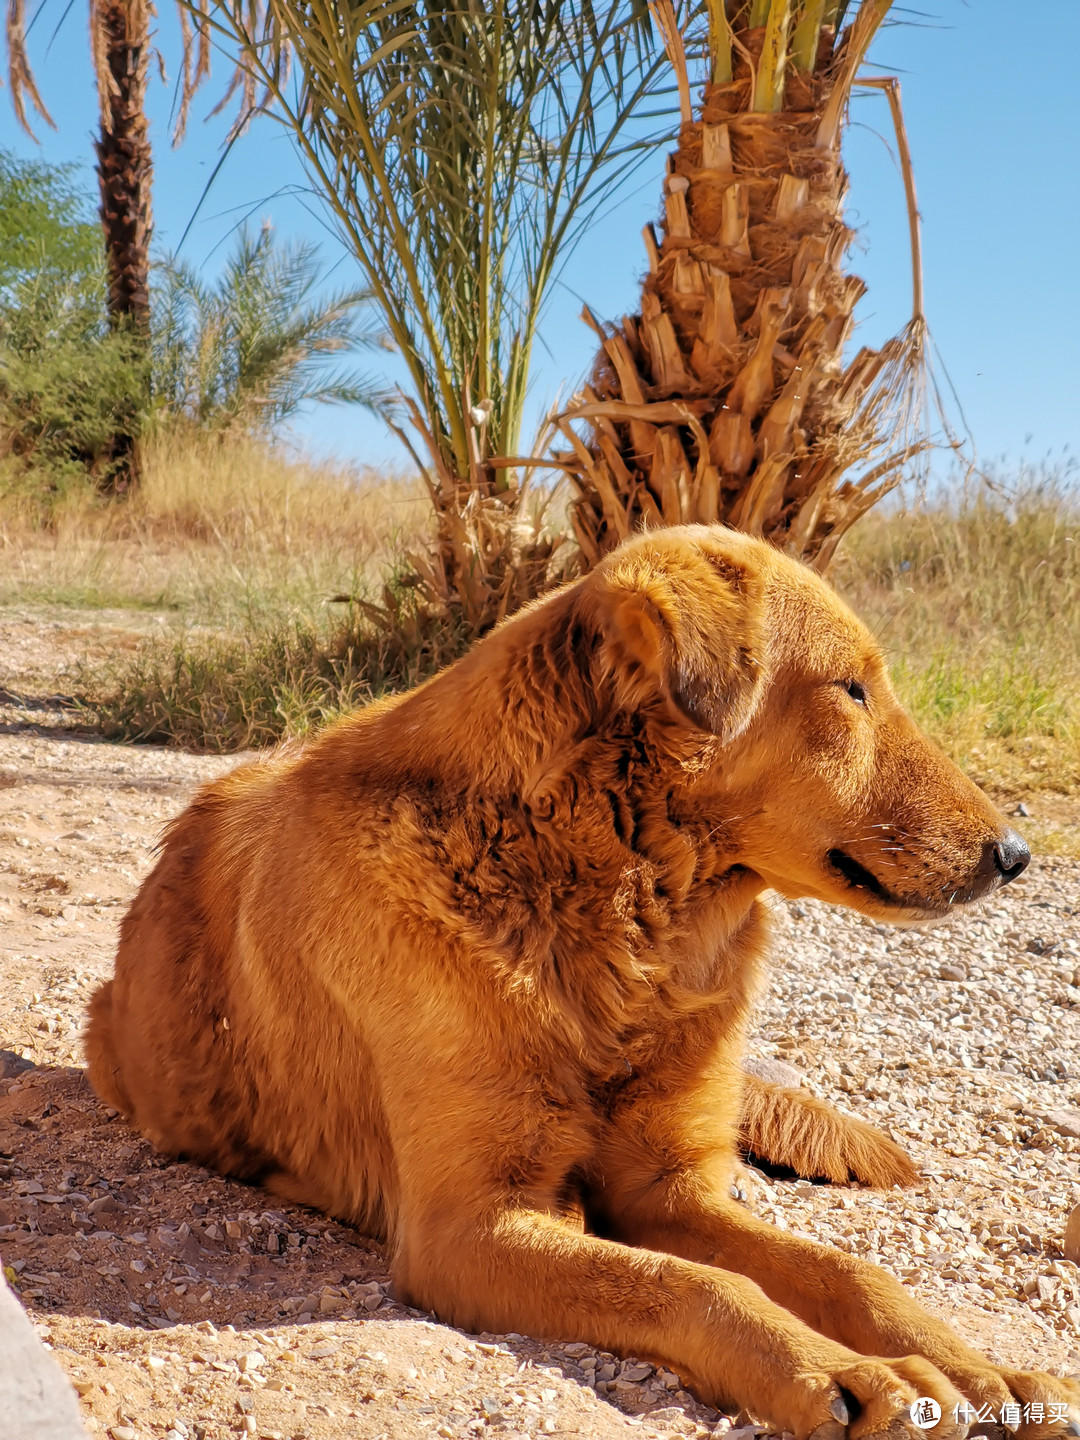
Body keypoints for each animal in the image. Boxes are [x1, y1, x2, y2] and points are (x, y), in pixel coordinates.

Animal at [88, 529, 1077, 1440]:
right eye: (852, 689)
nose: (1017, 855)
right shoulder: (471, 1228)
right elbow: (693, 1285)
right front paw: (842, 1374)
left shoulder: (668, 1191)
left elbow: (847, 1269)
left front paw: (981, 1367)